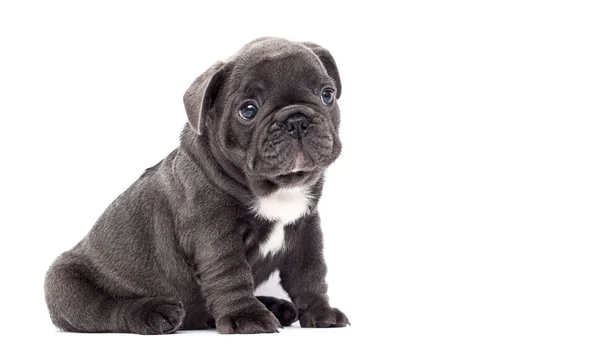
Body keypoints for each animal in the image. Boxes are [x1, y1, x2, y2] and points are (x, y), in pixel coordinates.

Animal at [44, 37, 350, 336]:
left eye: (327, 95)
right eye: (248, 110)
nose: (296, 121)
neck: (276, 188)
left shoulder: (306, 230)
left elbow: (310, 274)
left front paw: (321, 313)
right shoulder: (216, 236)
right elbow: (231, 276)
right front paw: (246, 317)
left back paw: (274, 306)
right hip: (64, 284)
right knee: (105, 310)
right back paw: (155, 313)